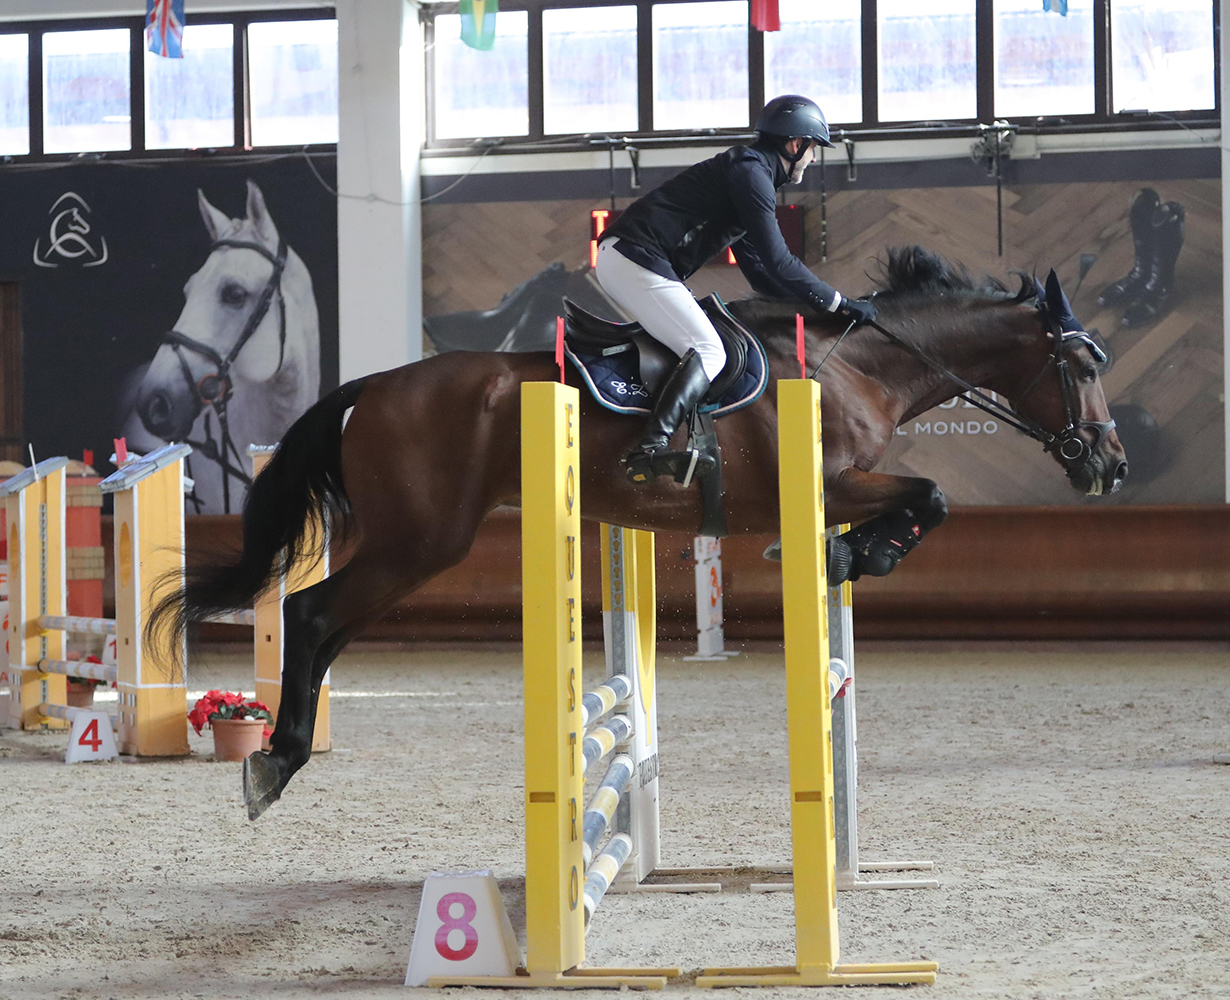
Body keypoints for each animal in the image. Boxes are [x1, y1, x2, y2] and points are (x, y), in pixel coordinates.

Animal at [150, 246, 1127, 820]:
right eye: (1081, 364)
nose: (1109, 465)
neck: (858, 364)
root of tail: (374, 386)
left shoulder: (836, 486)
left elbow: (926, 499)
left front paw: (851, 552)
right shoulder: (830, 481)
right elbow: (933, 495)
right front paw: (863, 550)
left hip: (410, 545)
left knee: (325, 624)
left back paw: (280, 753)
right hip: (420, 541)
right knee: (312, 615)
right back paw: (275, 760)